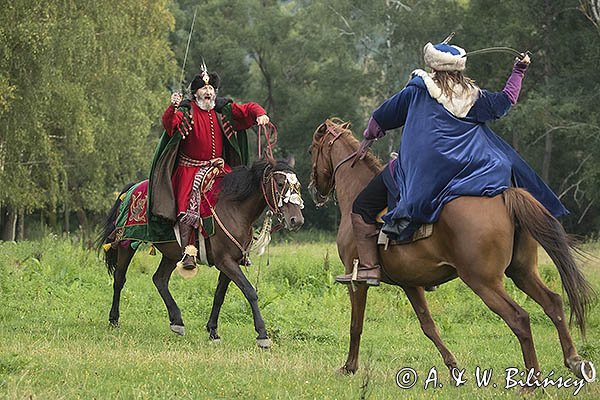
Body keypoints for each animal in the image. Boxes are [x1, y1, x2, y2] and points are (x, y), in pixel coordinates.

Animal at [100, 158, 304, 348]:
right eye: (280, 184)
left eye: (298, 186)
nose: (297, 220)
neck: (235, 209)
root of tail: (132, 187)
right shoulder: (225, 261)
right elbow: (250, 291)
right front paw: (262, 334)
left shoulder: (231, 261)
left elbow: (219, 295)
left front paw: (213, 331)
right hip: (126, 243)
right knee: (120, 279)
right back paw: (114, 319)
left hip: (172, 254)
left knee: (159, 279)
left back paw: (177, 321)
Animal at [310, 119, 596, 382]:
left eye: (313, 148)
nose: (315, 190)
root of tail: (505, 196)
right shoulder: (410, 283)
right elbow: (428, 325)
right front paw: (453, 367)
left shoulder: (357, 281)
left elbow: (355, 325)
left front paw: (349, 367)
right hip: (522, 272)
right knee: (553, 303)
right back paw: (574, 360)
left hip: (484, 282)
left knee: (520, 318)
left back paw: (532, 381)